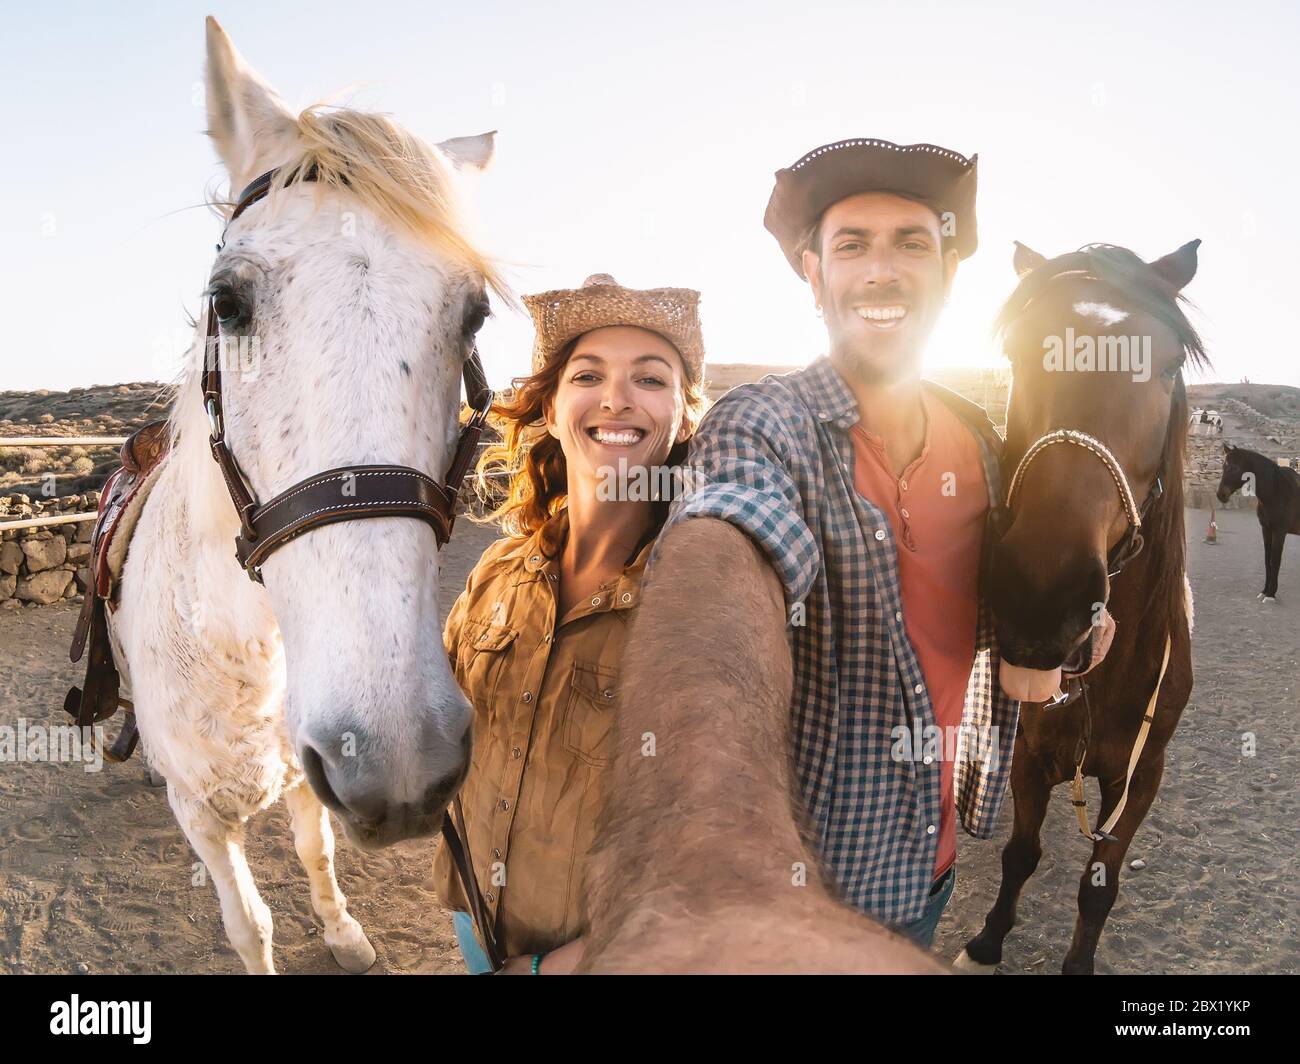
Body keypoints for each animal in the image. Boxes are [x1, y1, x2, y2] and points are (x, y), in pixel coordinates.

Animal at [110, 16, 501, 967]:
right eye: (228, 301)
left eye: (473, 314)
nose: (397, 758)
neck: (241, 650)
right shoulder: (203, 820)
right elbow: (248, 924)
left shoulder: (302, 773)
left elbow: (317, 850)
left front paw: (347, 933)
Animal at [961, 238, 1201, 967]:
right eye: (1016, 353)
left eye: (1168, 364)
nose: (1043, 594)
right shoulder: (1030, 752)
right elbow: (1020, 853)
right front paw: (990, 935)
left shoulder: (1141, 777)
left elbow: (1100, 887)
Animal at [1211, 444, 1294, 600]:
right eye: (1224, 466)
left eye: (1235, 467)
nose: (1220, 495)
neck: (1277, 491)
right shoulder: (1266, 529)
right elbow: (1267, 559)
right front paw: (1265, 591)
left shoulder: (1280, 531)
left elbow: (1275, 560)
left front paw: (1271, 595)